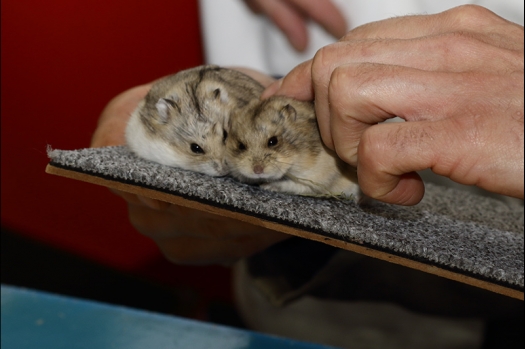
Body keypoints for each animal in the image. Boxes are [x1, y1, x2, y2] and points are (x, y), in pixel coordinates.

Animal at [225, 95, 360, 198]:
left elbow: (287, 184)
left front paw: (266, 186)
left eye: (273, 141)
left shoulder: (314, 178)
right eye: (241, 145)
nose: (257, 170)